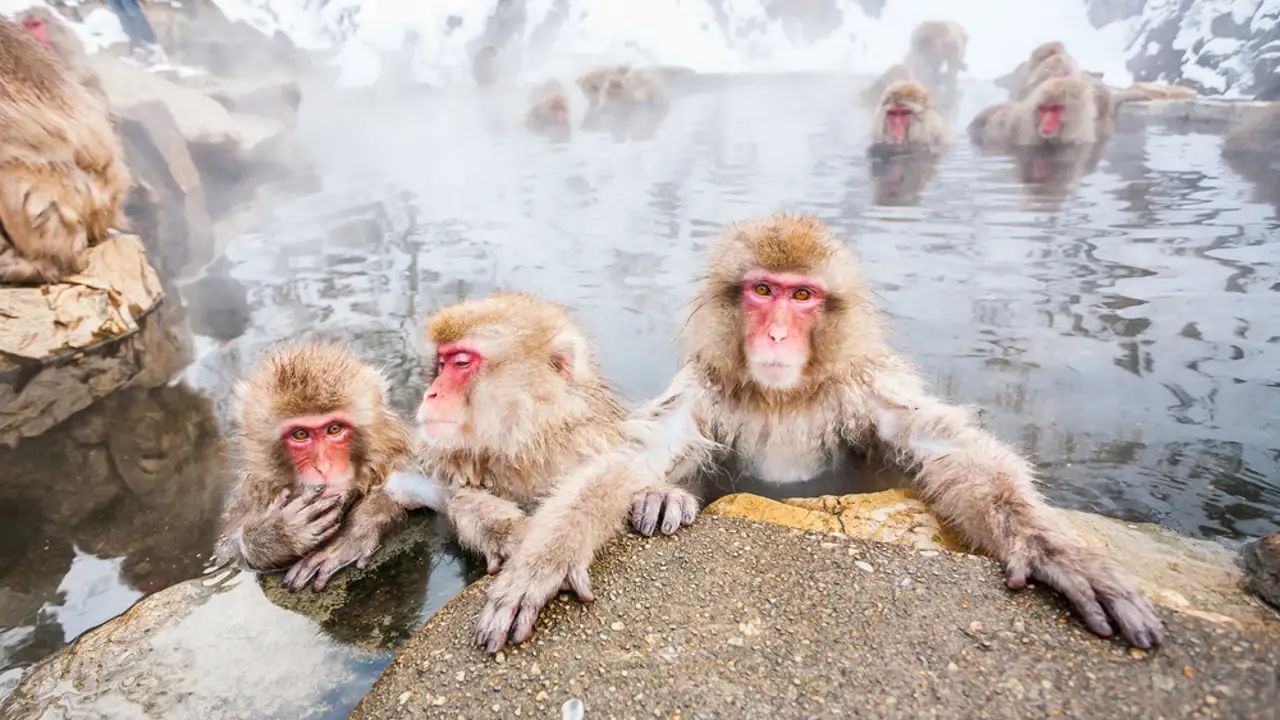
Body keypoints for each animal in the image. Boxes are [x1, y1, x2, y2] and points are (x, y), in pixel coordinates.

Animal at [212, 343, 415, 591]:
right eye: (300, 434)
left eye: (334, 429)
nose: (323, 467)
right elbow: (226, 556)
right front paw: (277, 534)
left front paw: (354, 531)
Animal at [414, 293, 699, 582]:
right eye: (441, 365)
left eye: (461, 362)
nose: (431, 393)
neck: (529, 446)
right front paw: (508, 531)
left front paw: (655, 496)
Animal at [475, 212, 1165, 654]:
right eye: (762, 290)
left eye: (802, 296)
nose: (778, 333)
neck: (784, 397)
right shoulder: (704, 389)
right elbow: (627, 459)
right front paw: (544, 561)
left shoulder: (866, 386)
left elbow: (948, 449)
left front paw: (1060, 554)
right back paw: (663, 500)